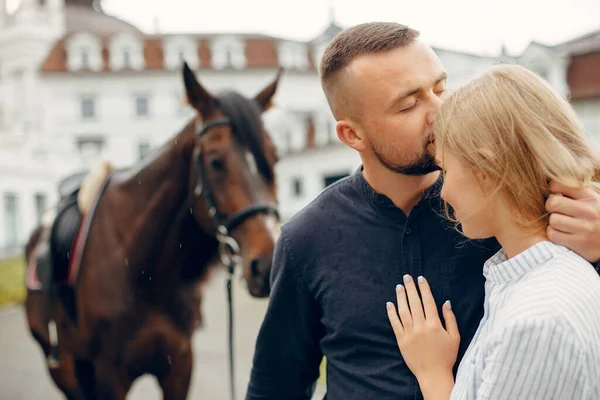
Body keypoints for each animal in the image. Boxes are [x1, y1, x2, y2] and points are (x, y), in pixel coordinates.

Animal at [23, 60, 284, 400]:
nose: (268, 265)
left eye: (275, 159)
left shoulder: (179, 365)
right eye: (215, 161)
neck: (140, 270)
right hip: (64, 369)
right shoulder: (110, 376)